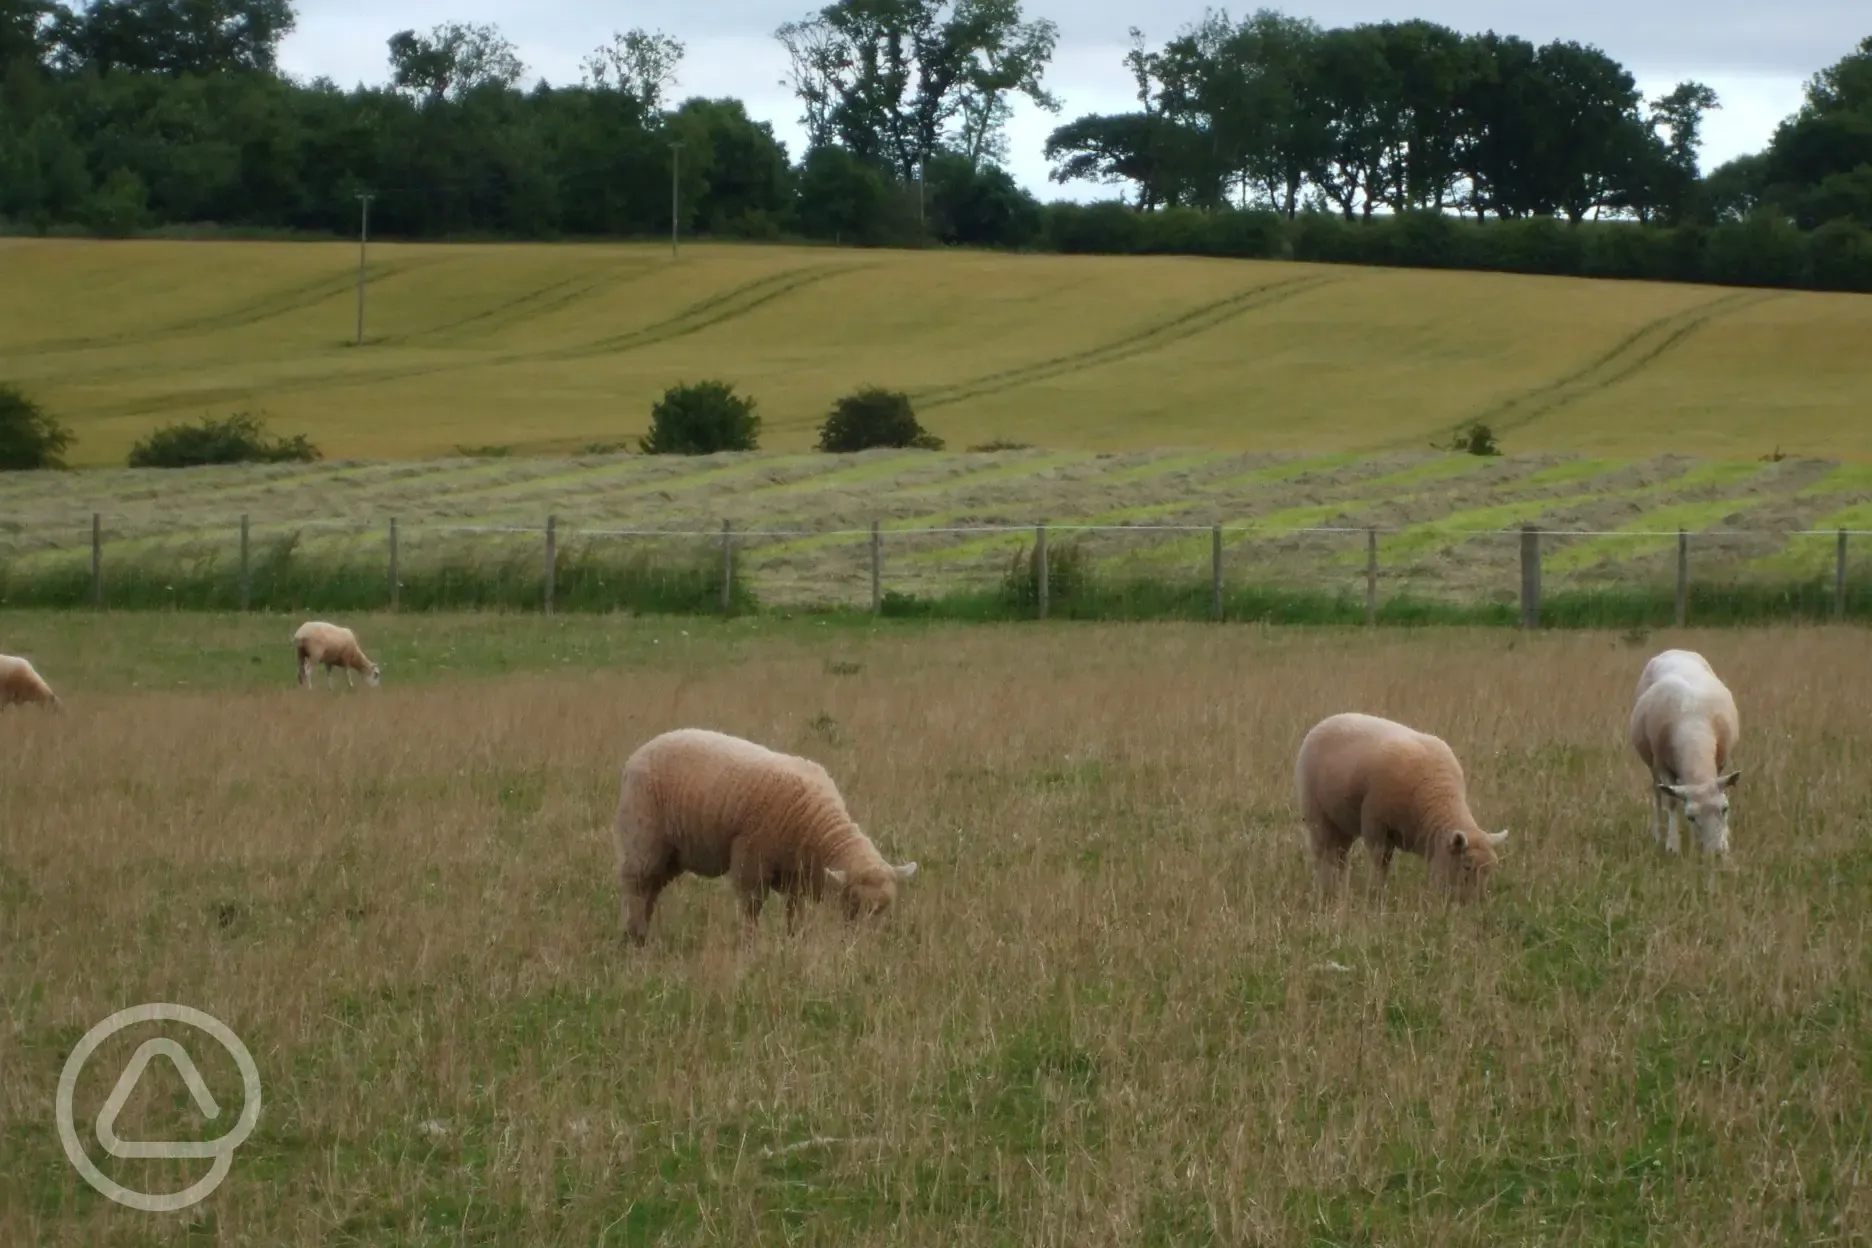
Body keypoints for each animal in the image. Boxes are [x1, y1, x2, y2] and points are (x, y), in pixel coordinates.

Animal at [614, 725, 921, 943]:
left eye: (885, 909)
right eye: (855, 904)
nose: (862, 946)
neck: (819, 828)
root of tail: (637, 754)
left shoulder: (798, 874)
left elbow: (795, 911)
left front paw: (794, 941)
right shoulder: (751, 860)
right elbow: (752, 910)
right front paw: (750, 948)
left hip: (671, 853)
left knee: (651, 888)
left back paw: (644, 932)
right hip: (643, 835)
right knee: (636, 887)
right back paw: (636, 937)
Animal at [1295, 711, 1512, 898]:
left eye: (1491, 869)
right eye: (1467, 866)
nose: (1476, 903)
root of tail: (1327, 720)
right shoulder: (1376, 825)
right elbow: (1381, 863)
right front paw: (1377, 893)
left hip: (1341, 822)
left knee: (1339, 857)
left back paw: (1340, 890)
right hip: (1316, 814)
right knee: (1322, 855)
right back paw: (1326, 890)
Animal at [1632, 643, 1744, 860]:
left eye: (1725, 809)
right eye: (1691, 817)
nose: (1716, 854)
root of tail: (1675, 650)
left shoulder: (1720, 762)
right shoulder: (1662, 764)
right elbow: (1671, 802)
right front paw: (1672, 845)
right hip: (1652, 764)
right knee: (1657, 794)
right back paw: (1658, 834)